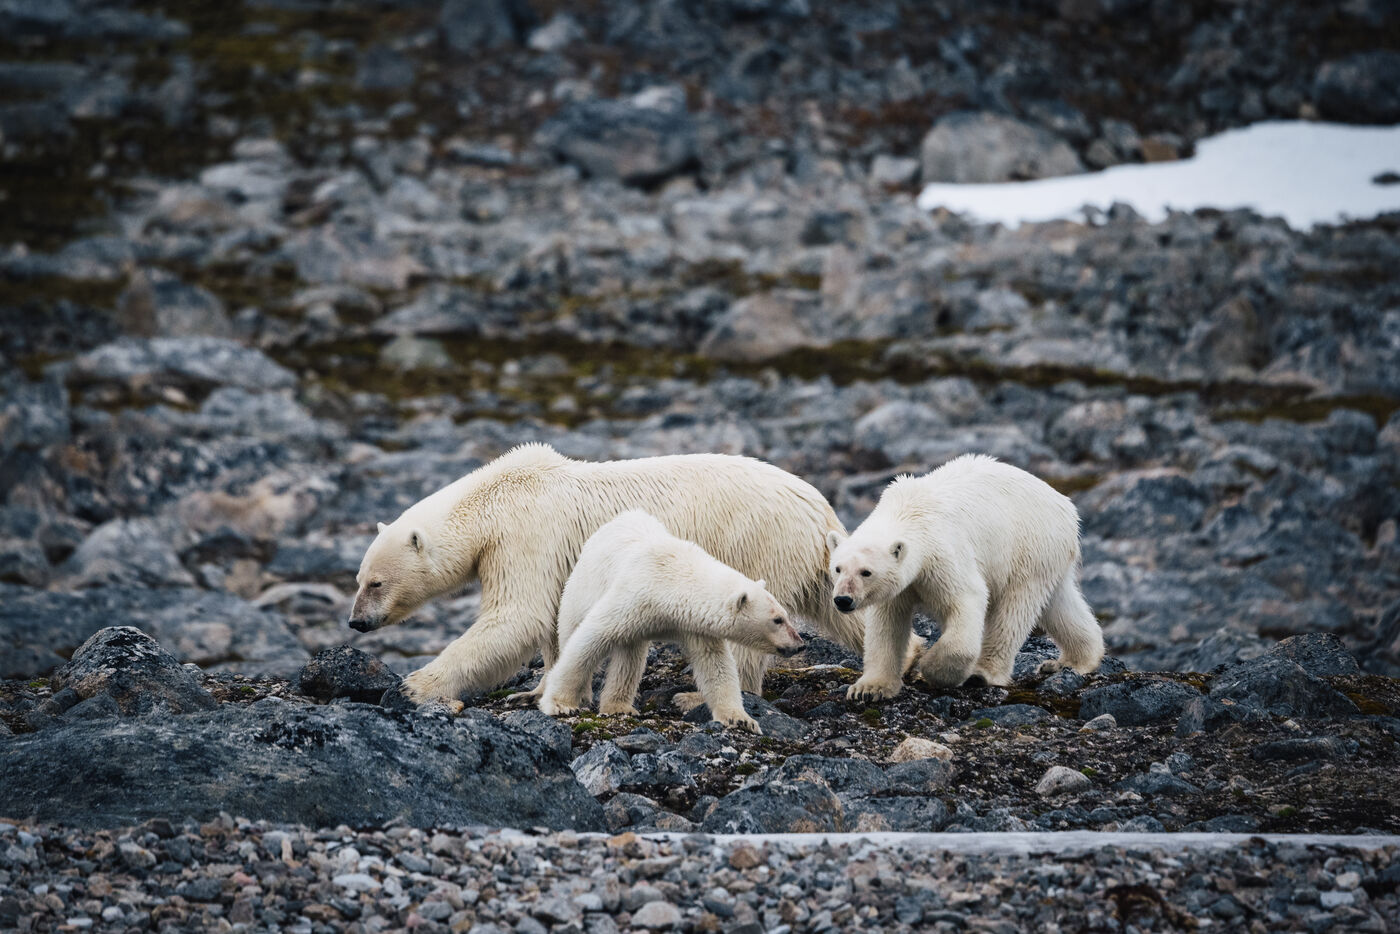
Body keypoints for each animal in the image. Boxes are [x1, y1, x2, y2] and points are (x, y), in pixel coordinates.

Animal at [348, 443, 921, 704]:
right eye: (359, 580)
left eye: (375, 582)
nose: (356, 622)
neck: (494, 500)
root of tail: (818, 504)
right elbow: (553, 622)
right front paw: (537, 690)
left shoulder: (528, 535)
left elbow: (518, 615)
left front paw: (415, 684)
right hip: (812, 561)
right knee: (840, 604)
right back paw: (906, 657)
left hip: (757, 544)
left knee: (750, 620)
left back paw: (703, 694)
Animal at [536, 510, 804, 733]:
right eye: (778, 619)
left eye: (787, 615)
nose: (800, 644)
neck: (673, 581)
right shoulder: (635, 595)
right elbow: (591, 638)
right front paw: (559, 704)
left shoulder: (693, 625)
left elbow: (715, 664)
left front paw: (741, 719)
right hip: (581, 586)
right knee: (572, 630)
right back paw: (587, 694)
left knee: (630, 654)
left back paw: (619, 706)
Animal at [827, 454, 1103, 698]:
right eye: (838, 568)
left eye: (866, 572)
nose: (843, 600)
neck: (909, 512)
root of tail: (1067, 508)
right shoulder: (899, 587)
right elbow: (886, 625)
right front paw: (869, 689)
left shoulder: (942, 555)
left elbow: (966, 601)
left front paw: (931, 669)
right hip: (1047, 556)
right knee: (1059, 604)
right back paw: (1074, 661)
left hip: (1027, 548)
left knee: (1013, 611)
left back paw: (981, 673)